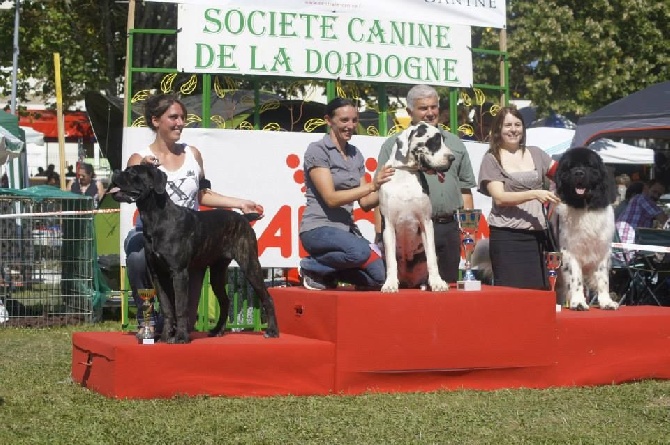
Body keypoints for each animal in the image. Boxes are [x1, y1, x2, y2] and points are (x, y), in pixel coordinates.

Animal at [110, 165, 278, 342]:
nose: (115, 172)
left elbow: (180, 307)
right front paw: (165, 337)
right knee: (225, 301)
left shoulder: (179, 272)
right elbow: (167, 308)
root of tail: (244, 218)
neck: (156, 216)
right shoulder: (158, 274)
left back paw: (272, 331)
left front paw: (181, 337)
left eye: (133, 173)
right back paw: (217, 330)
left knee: (267, 298)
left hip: (249, 264)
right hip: (217, 272)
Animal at [552, 146, 624, 308]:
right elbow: (576, 279)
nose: (579, 172)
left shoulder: (602, 250)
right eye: (570, 166)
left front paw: (606, 302)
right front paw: (578, 303)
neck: (585, 207)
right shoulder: (570, 251)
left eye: (589, 165)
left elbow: (603, 279)